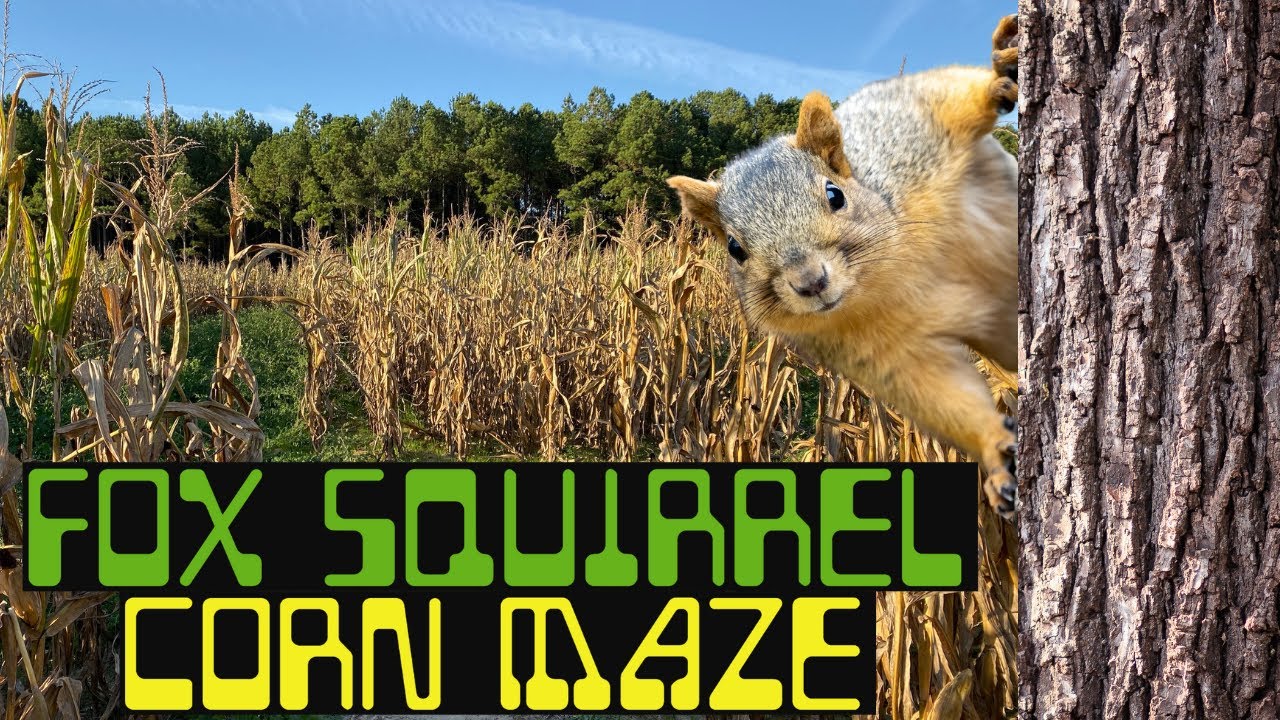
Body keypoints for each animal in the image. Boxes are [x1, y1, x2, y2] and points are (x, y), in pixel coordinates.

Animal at [667, 15, 1020, 518]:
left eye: (834, 194)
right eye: (734, 248)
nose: (811, 282)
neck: (884, 279)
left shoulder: (908, 138)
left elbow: (948, 98)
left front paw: (1000, 69)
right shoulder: (887, 352)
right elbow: (943, 394)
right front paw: (994, 451)